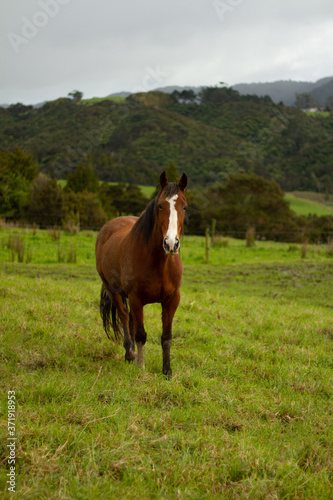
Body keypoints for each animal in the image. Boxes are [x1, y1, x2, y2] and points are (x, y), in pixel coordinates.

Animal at [95, 171, 187, 376]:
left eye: (184, 207)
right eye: (160, 205)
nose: (171, 244)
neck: (159, 264)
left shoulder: (172, 300)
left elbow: (166, 337)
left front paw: (167, 371)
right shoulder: (137, 299)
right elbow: (141, 335)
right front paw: (141, 367)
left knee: (129, 319)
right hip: (112, 290)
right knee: (124, 316)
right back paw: (130, 353)